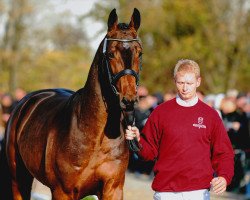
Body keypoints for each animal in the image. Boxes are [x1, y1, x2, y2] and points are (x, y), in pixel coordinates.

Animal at [0, 8, 143, 200]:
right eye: (111, 53)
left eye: (139, 53)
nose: (128, 100)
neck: (95, 137)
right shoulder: (63, 192)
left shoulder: (113, 189)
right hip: (19, 180)